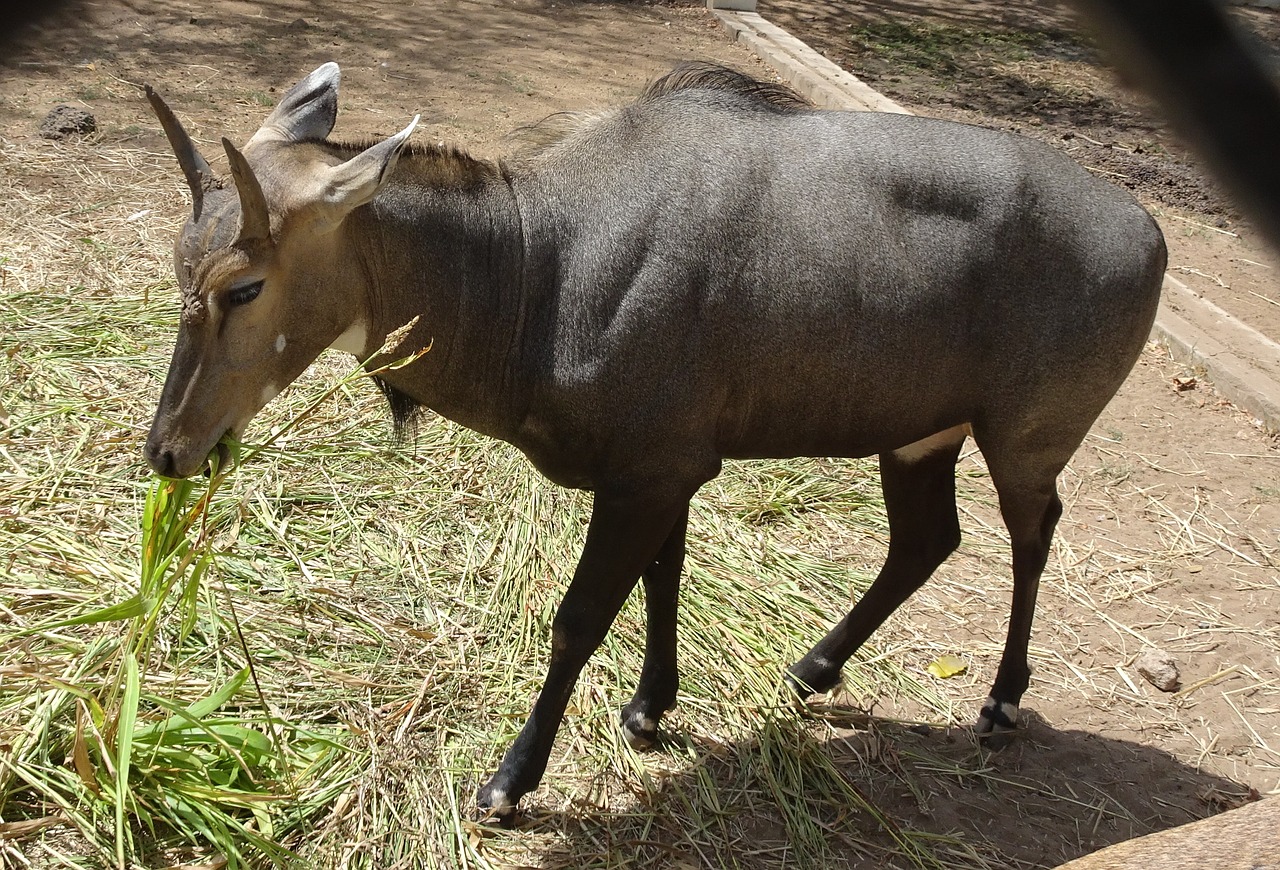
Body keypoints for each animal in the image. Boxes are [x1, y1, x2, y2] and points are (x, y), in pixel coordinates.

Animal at [145, 63, 1167, 823]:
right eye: (180, 265)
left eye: (244, 286)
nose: (169, 452)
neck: (540, 266)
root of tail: (1148, 230)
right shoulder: (668, 469)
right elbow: (664, 577)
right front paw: (648, 709)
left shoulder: (647, 473)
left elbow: (579, 619)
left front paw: (509, 785)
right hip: (919, 436)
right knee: (927, 539)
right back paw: (813, 669)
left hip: (1026, 437)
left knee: (1033, 534)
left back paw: (999, 701)